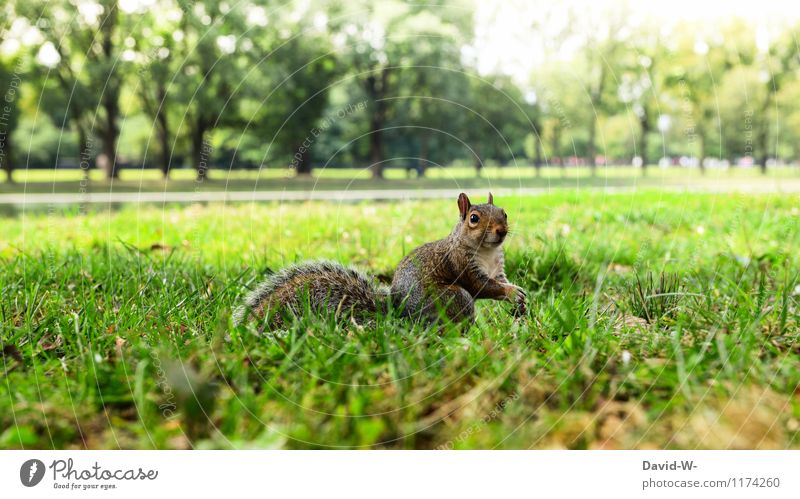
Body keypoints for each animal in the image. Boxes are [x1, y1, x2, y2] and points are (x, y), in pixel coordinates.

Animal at [234, 193, 528, 330]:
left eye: (504, 212)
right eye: (474, 219)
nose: (502, 230)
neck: (486, 252)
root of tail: (398, 310)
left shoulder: (497, 268)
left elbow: (500, 281)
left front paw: (519, 295)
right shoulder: (462, 265)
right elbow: (483, 287)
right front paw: (511, 293)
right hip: (453, 297)